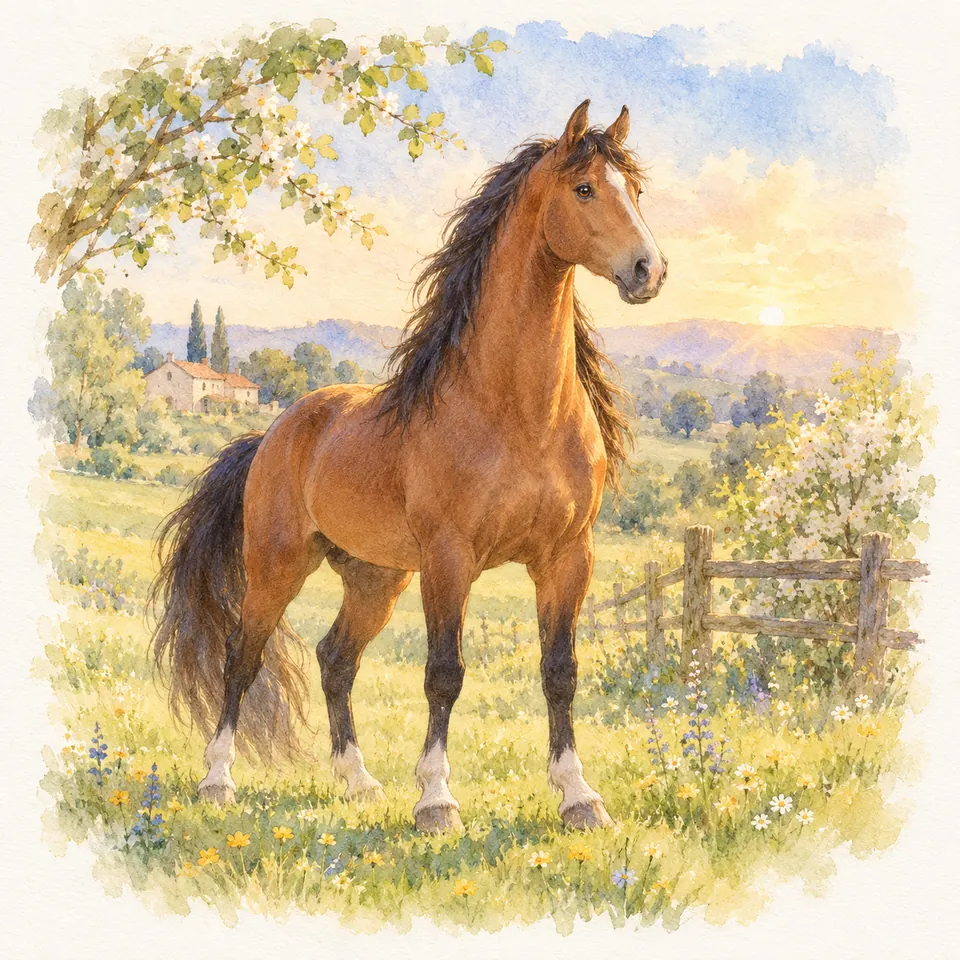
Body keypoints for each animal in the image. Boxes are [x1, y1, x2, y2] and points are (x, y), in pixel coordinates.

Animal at [151, 100, 667, 832]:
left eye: (638, 190)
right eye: (585, 188)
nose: (648, 269)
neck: (518, 412)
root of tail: (276, 431)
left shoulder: (568, 556)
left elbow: (560, 670)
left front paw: (578, 797)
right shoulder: (451, 559)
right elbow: (444, 673)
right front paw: (436, 801)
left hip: (375, 578)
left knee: (336, 660)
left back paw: (358, 780)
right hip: (277, 565)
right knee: (242, 656)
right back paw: (218, 780)